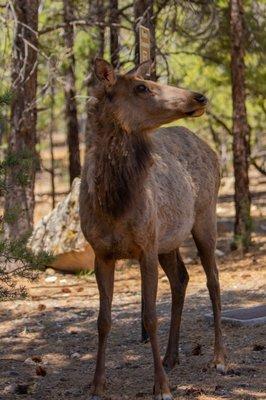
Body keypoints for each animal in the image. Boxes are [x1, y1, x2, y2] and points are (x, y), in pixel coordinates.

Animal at [79, 57, 227, 398]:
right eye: (141, 87)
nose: (199, 96)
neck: (114, 205)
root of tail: (212, 151)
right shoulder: (101, 253)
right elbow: (103, 320)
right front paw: (97, 383)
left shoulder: (145, 247)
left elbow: (149, 317)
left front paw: (161, 386)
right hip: (169, 241)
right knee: (182, 279)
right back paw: (172, 356)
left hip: (205, 218)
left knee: (213, 281)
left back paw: (218, 358)